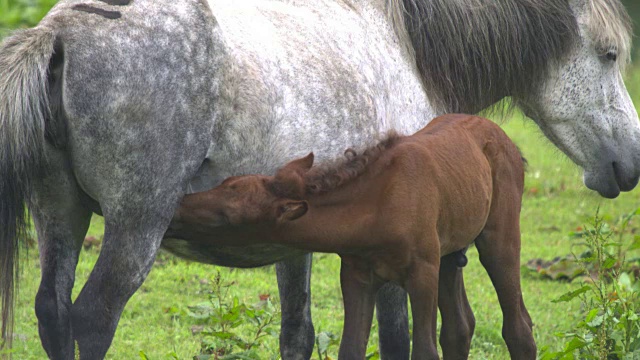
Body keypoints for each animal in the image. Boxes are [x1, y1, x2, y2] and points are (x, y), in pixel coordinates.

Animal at [165, 114, 536, 358]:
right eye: (224, 183)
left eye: (225, 216)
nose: (176, 208)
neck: (378, 208)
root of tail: (504, 137)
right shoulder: (357, 275)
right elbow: (350, 350)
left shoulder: (422, 272)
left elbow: (424, 351)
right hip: (450, 250)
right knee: (459, 328)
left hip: (498, 237)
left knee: (518, 326)